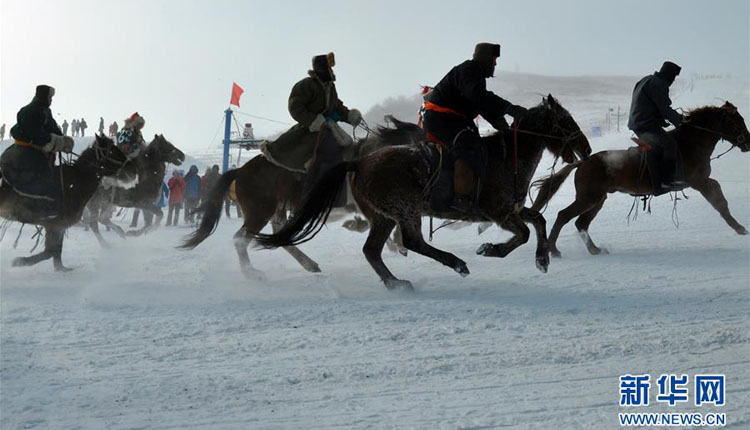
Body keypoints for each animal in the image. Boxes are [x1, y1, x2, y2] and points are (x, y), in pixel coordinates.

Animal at [0, 135, 128, 271]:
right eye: (111, 151)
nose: (129, 163)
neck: (76, 181)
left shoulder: (59, 227)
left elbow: (56, 251)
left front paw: (61, 268)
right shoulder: (54, 225)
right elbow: (50, 251)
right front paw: (20, 261)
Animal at [179, 121, 426, 278]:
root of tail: (240, 171)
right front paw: (396, 243)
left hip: (276, 209)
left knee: (278, 234)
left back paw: (308, 264)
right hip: (260, 211)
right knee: (241, 239)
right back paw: (251, 273)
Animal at [252, 95, 592, 290]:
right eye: (565, 120)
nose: (586, 149)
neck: (508, 156)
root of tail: (360, 161)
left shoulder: (512, 209)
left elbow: (539, 221)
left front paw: (542, 259)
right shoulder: (498, 212)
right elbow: (523, 233)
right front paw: (491, 249)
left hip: (383, 217)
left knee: (372, 250)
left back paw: (395, 282)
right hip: (405, 210)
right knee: (412, 241)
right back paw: (456, 263)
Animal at [530, 102, 750, 257]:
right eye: (737, 122)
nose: (747, 142)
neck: (689, 143)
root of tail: (583, 162)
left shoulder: (703, 180)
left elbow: (720, 197)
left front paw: (739, 227)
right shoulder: (698, 182)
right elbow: (718, 202)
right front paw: (739, 228)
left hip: (597, 200)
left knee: (581, 223)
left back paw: (595, 250)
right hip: (589, 199)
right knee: (563, 216)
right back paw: (553, 249)